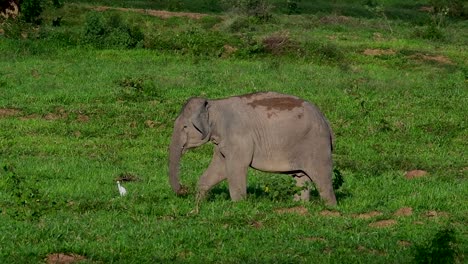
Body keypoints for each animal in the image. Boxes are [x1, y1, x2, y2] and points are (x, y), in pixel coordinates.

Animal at [168, 92, 336, 207]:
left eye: (185, 127)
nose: (184, 189)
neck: (214, 104)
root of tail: (326, 120)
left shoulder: (239, 137)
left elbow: (236, 168)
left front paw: (238, 206)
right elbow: (220, 168)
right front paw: (198, 203)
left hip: (317, 145)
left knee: (322, 179)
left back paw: (330, 209)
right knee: (301, 177)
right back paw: (299, 206)